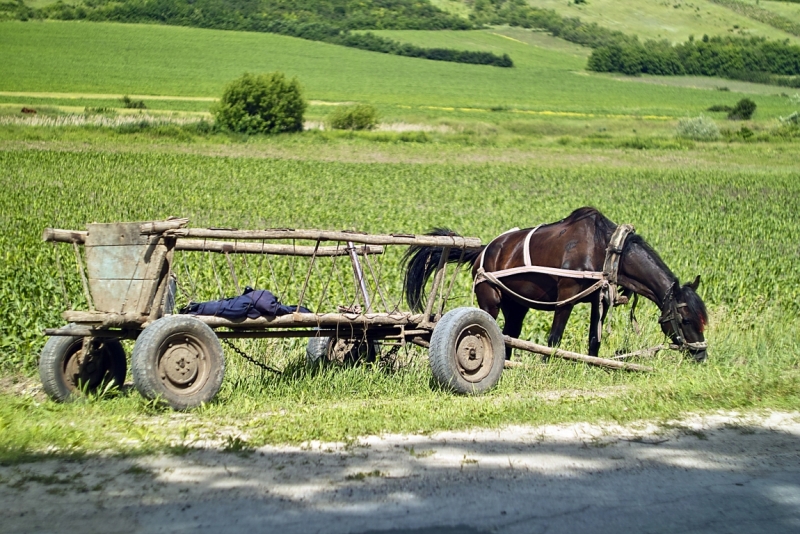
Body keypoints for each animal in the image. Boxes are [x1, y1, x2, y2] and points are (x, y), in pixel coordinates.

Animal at [404, 207, 708, 362]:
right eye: (685, 318)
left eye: (702, 319)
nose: (702, 355)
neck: (605, 249)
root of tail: (483, 251)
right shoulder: (566, 298)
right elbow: (554, 339)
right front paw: (547, 365)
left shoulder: (598, 301)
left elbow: (594, 340)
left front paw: (593, 366)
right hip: (490, 300)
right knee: (490, 330)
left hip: (517, 305)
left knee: (509, 334)